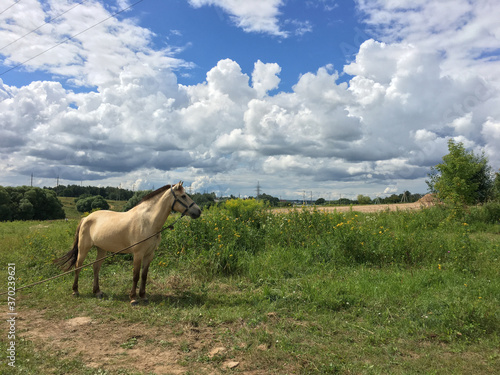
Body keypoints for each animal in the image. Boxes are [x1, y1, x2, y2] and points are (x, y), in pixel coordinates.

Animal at [54, 182, 201, 306]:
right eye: (184, 196)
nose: (198, 211)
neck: (148, 222)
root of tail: (86, 218)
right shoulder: (138, 254)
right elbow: (135, 276)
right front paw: (133, 298)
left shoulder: (149, 254)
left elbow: (144, 275)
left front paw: (143, 296)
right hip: (84, 248)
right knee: (78, 266)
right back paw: (75, 291)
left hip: (101, 249)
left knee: (96, 267)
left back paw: (97, 292)